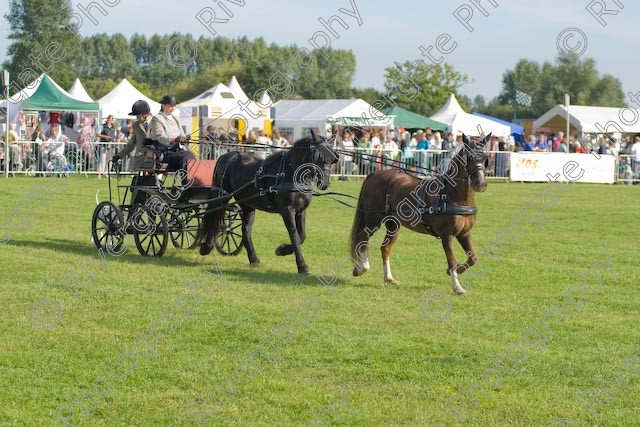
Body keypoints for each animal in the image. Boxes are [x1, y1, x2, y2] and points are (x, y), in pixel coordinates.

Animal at [199, 136, 340, 274]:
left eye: (332, 159)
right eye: (318, 156)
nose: (325, 182)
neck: (291, 172)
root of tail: (226, 156)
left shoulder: (301, 211)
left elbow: (302, 236)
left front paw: (282, 250)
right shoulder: (287, 210)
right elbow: (294, 235)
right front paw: (302, 266)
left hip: (247, 203)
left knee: (246, 229)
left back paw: (254, 259)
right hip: (222, 196)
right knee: (214, 217)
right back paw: (206, 247)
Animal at [350, 135, 490, 296]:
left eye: (485, 158)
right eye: (469, 157)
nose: (480, 183)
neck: (451, 194)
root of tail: (374, 174)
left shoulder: (464, 233)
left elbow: (473, 258)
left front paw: (456, 271)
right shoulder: (447, 235)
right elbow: (452, 260)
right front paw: (457, 287)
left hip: (394, 225)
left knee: (385, 248)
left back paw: (389, 278)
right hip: (374, 219)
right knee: (362, 237)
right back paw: (362, 267)